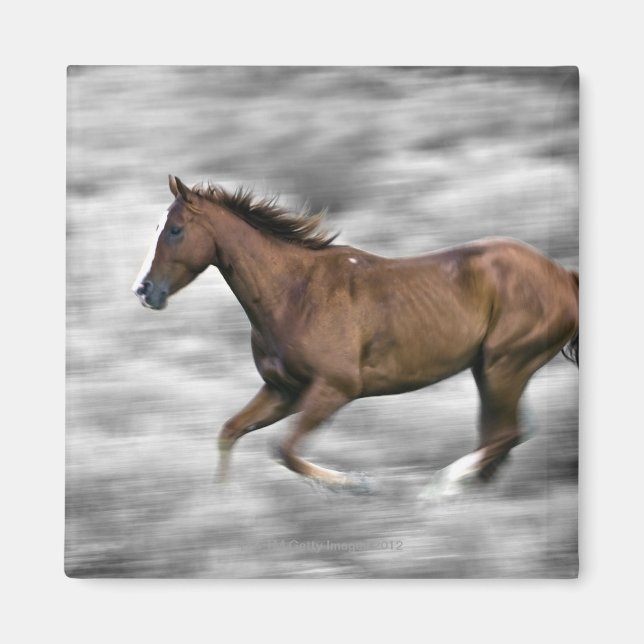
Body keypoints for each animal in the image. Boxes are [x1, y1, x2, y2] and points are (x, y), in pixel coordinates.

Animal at [133, 175, 579, 497]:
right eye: (157, 227)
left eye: (174, 230)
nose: (143, 290)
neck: (295, 292)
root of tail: (565, 277)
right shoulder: (284, 391)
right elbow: (229, 432)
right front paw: (222, 501)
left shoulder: (334, 389)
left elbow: (284, 450)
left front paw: (358, 484)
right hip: (489, 370)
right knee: (500, 438)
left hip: (505, 365)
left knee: (505, 434)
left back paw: (439, 490)